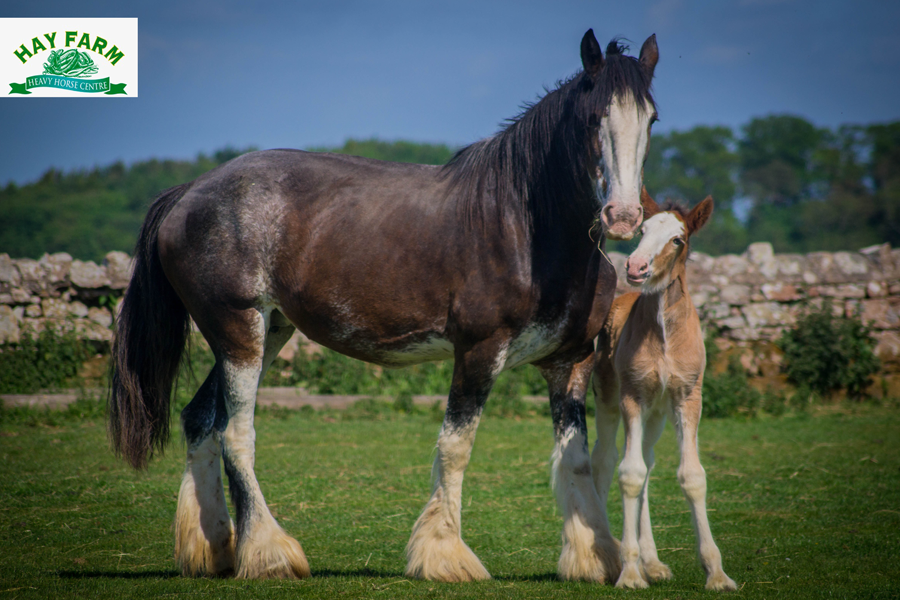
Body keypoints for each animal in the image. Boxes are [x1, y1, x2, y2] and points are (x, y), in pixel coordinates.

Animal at [109, 29, 659, 583]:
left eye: (651, 118)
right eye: (593, 117)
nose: (623, 216)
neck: (523, 226)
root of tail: (190, 193)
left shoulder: (569, 362)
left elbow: (576, 457)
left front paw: (595, 556)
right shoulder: (479, 352)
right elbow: (455, 448)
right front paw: (445, 554)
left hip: (267, 332)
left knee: (199, 420)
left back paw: (212, 548)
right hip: (238, 329)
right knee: (235, 435)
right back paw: (269, 553)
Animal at [591, 192, 738, 591]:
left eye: (678, 240)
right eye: (642, 231)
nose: (636, 267)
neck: (664, 333)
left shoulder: (687, 396)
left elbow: (692, 476)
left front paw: (717, 573)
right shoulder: (632, 395)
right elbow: (628, 474)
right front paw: (628, 573)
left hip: (655, 414)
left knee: (647, 462)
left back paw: (652, 562)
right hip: (609, 400)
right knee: (605, 461)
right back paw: (612, 554)